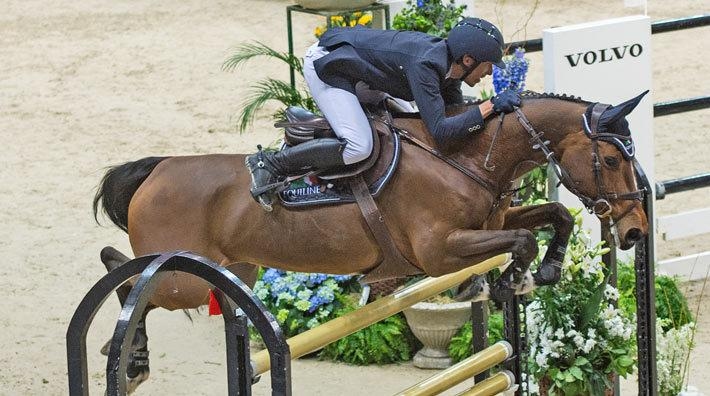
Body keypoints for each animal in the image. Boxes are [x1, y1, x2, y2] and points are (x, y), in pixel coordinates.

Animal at [93, 91, 652, 392]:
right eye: (611, 159)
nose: (634, 231)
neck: (469, 155)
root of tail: (155, 171)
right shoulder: (438, 250)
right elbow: (520, 241)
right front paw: (505, 282)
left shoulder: (490, 220)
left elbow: (552, 217)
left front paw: (540, 272)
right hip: (183, 279)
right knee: (126, 273)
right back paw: (133, 359)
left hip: (234, 270)